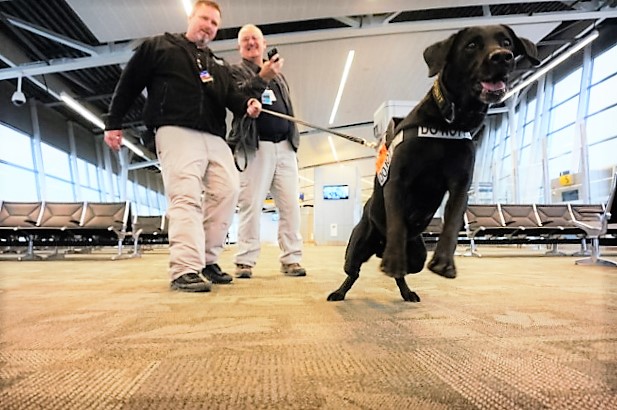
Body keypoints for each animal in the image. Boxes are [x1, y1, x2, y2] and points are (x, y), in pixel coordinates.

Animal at [328, 24, 540, 302]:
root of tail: (378, 245)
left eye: (506, 42)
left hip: (417, 254)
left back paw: (407, 291)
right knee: (353, 272)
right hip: (355, 248)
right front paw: (394, 259)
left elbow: (452, 222)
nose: (502, 57)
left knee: (403, 273)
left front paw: (444, 262)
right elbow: (397, 221)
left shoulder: (460, 186)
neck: (450, 122)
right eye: (471, 45)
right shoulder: (398, 180)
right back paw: (343, 290)